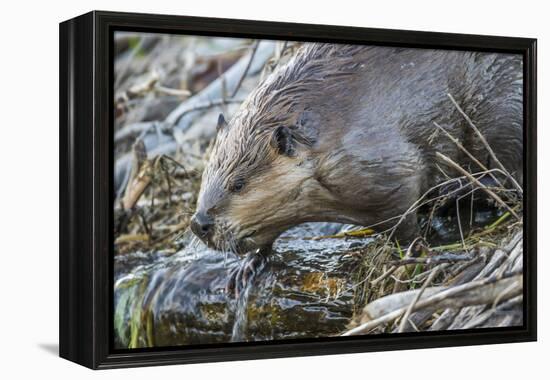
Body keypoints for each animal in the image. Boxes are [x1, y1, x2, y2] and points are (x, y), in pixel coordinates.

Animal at [192, 42, 524, 290]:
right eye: (206, 177)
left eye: (238, 184)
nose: (199, 224)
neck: (326, 127)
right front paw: (245, 269)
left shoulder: (379, 161)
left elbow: (405, 210)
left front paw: (414, 253)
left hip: (501, 108)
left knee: (507, 175)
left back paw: (452, 193)